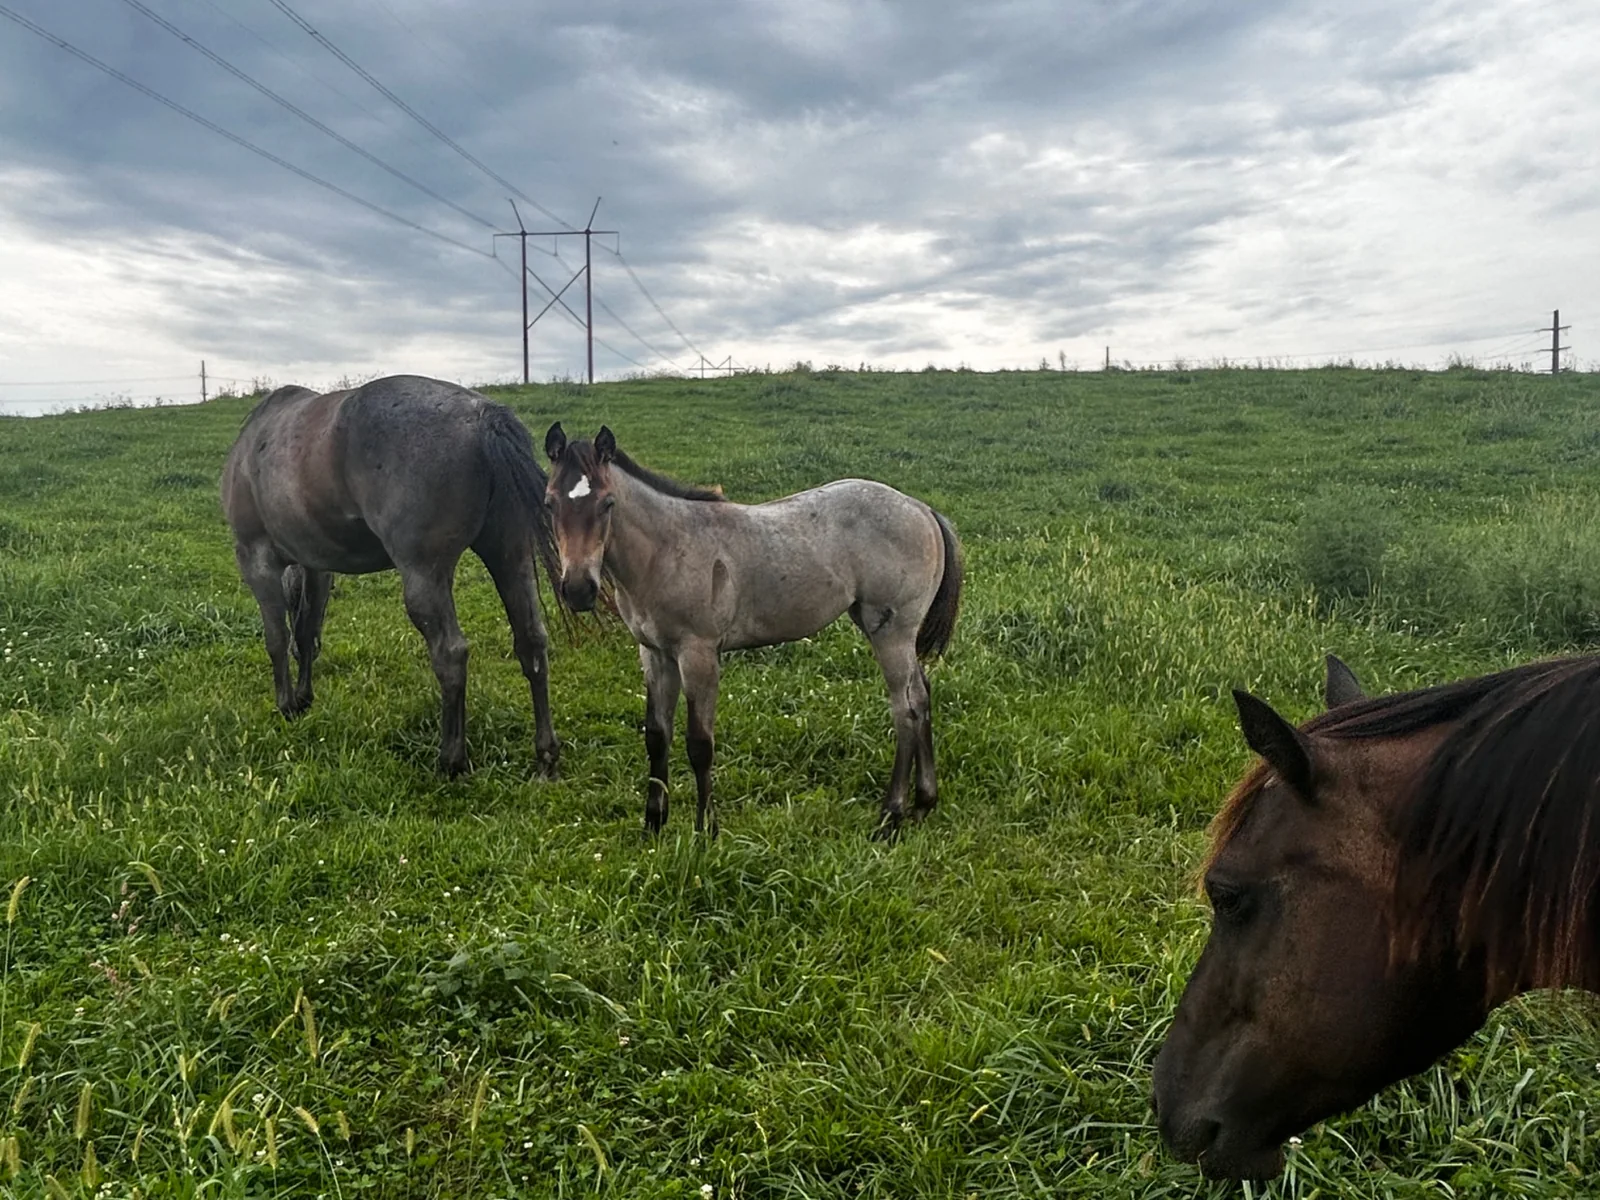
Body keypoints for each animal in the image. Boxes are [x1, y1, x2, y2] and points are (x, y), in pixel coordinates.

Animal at [220, 375, 565, 777]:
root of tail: (483, 418)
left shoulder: (256, 560)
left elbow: (277, 639)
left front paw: (287, 705)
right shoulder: (316, 566)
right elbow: (306, 634)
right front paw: (303, 699)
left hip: (425, 576)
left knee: (451, 654)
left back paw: (451, 760)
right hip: (510, 557)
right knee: (532, 642)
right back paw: (545, 754)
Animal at [541, 423, 963, 838]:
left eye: (607, 503)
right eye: (549, 503)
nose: (578, 589)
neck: (666, 550)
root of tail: (922, 509)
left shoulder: (698, 654)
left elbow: (700, 744)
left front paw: (705, 832)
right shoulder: (655, 653)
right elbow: (657, 737)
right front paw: (653, 826)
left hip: (892, 631)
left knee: (906, 710)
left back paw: (890, 816)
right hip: (888, 629)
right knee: (922, 694)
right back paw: (924, 802)